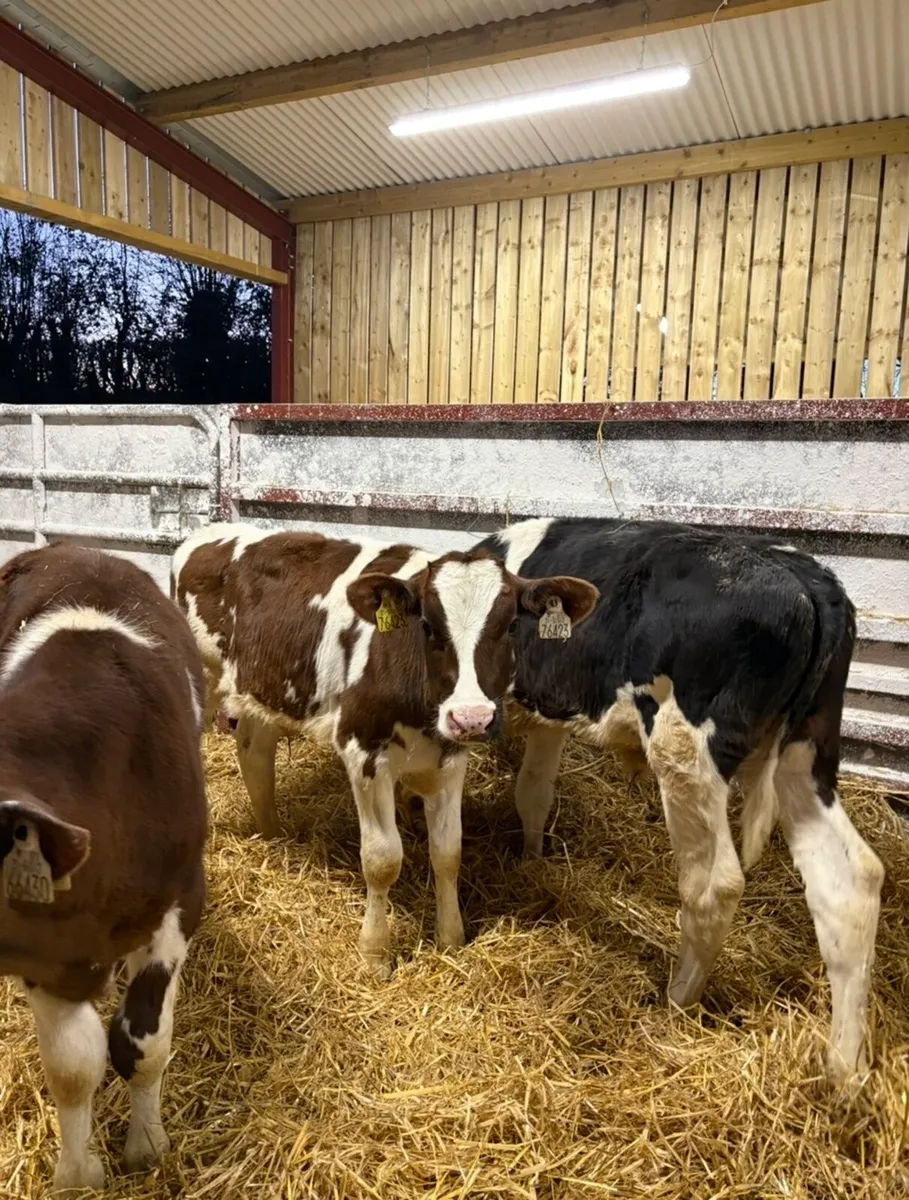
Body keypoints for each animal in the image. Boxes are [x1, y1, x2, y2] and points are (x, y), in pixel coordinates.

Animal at [0, 543, 207, 1191]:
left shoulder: (180, 900)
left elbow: (142, 1043)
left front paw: (147, 1144)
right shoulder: (46, 948)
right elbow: (72, 1067)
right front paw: (78, 1173)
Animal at [171, 523, 597, 979]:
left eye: (512, 625)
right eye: (427, 625)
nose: (471, 717)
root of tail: (208, 532)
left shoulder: (451, 760)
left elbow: (448, 852)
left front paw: (451, 938)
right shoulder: (363, 752)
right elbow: (382, 860)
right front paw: (375, 954)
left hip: (262, 689)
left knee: (254, 752)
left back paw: (271, 834)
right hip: (200, 677)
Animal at [476, 516, 884, 1088]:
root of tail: (804, 577)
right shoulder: (547, 714)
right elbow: (533, 791)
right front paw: (532, 862)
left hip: (686, 749)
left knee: (714, 885)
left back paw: (675, 1005)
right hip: (807, 750)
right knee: (850, 882)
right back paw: (843, 1074)